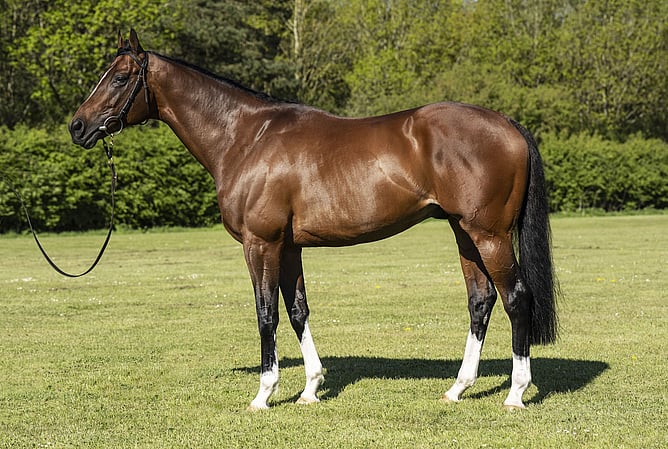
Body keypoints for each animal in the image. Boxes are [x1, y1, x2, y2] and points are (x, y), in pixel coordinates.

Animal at [69, 30, 558, 411]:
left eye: (119, 77)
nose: (77, 126)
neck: (247, 138)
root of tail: (508, 124)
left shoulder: (261, 243)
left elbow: (266, 313)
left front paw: (264, 394)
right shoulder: (288, 246)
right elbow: (297, 310)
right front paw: (310, 388)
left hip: (489, 235)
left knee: (516, 298)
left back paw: (516, 393)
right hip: (464, 233)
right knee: (481, 301)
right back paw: (458, 388)